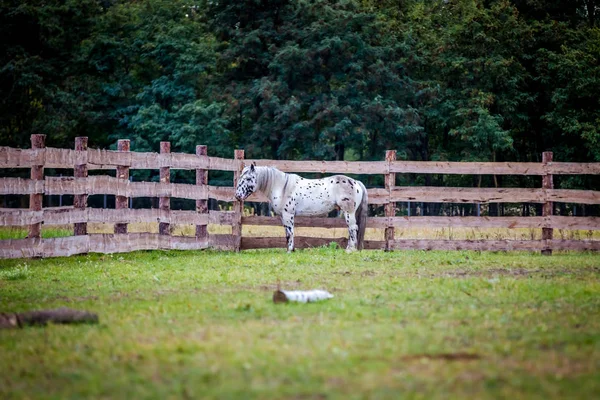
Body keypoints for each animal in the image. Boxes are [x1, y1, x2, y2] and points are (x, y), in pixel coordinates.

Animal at [233, 166, 366, 253]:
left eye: (248, 179)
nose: (237, 196)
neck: (282, 187)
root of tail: (356, 182)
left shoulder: (288, 215)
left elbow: (290, 233)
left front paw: (290, 251)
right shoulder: (283, 216)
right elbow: (288, 233)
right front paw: (290, 249)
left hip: (349, 213)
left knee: (353, 229)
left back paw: (350, 250)